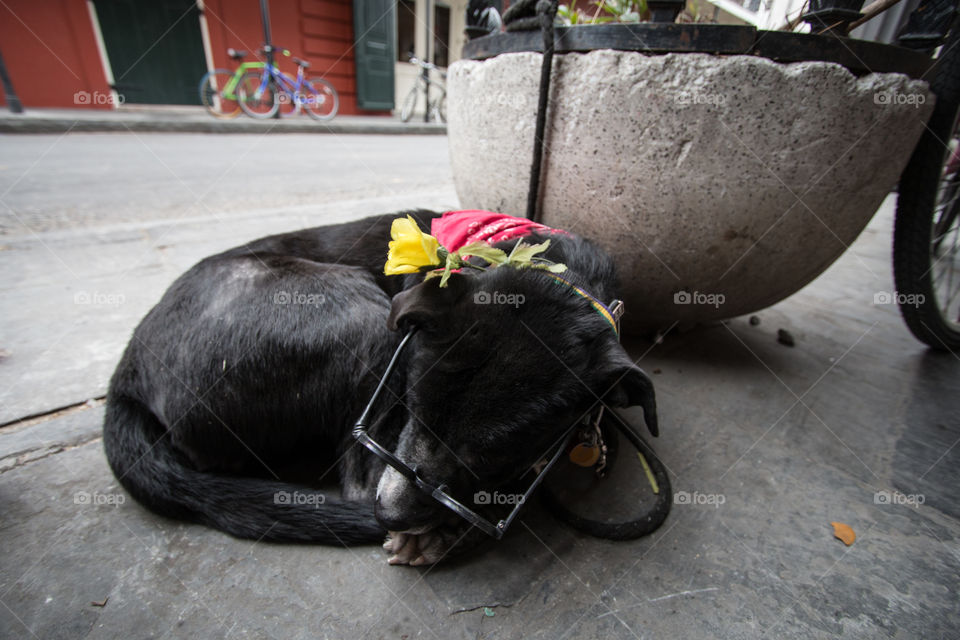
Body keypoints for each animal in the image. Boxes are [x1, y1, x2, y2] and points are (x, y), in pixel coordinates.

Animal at [105, 210, 660, 564]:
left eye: (490, 453)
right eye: (411, 403)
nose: (387, 516)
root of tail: (128, 370)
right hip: (361, 318)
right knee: (355, 480)